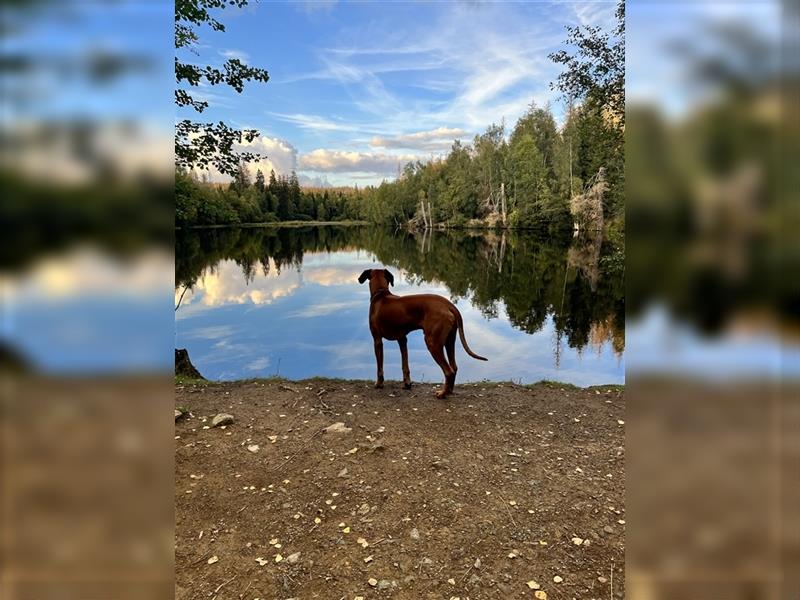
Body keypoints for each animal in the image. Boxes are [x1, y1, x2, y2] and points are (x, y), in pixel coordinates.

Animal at [358, 268, 488, 398]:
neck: (381, 294)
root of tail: (449, 305)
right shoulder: (402, 339)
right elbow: (405, 365)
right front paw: (407, 384)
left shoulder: (377, 340)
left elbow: (380, 367)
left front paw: (379, 384)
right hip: (450, 341)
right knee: (454, 367)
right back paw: (449, 391)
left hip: (432, 343)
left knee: (448, 371)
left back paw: (442, 394)